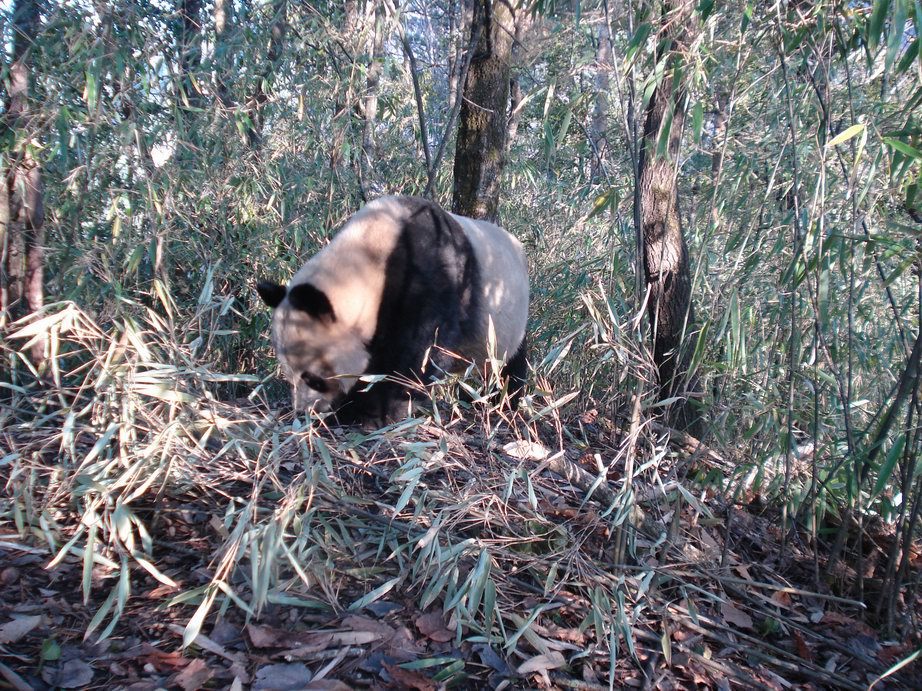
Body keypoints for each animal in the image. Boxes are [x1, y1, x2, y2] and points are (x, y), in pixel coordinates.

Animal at [255, 193, 528, 422]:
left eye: (313, 379)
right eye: (288, 374)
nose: (305, 411)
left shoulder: (433, 274)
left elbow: (421, 351)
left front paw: (373, 413)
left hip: (506, 320)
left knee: (509, 365)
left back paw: (501, 402)